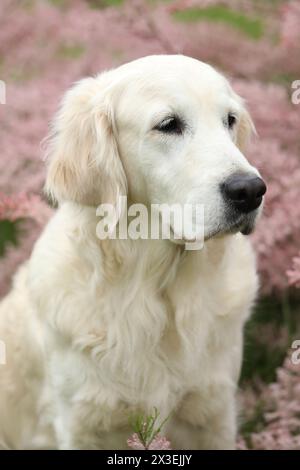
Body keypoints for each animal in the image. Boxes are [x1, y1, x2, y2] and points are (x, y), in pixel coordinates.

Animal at [0, 55, 268, 448]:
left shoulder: (213, 411)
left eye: (229, 120)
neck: (156, 290)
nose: (250, 190)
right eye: (168, 124)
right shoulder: (80, 422)